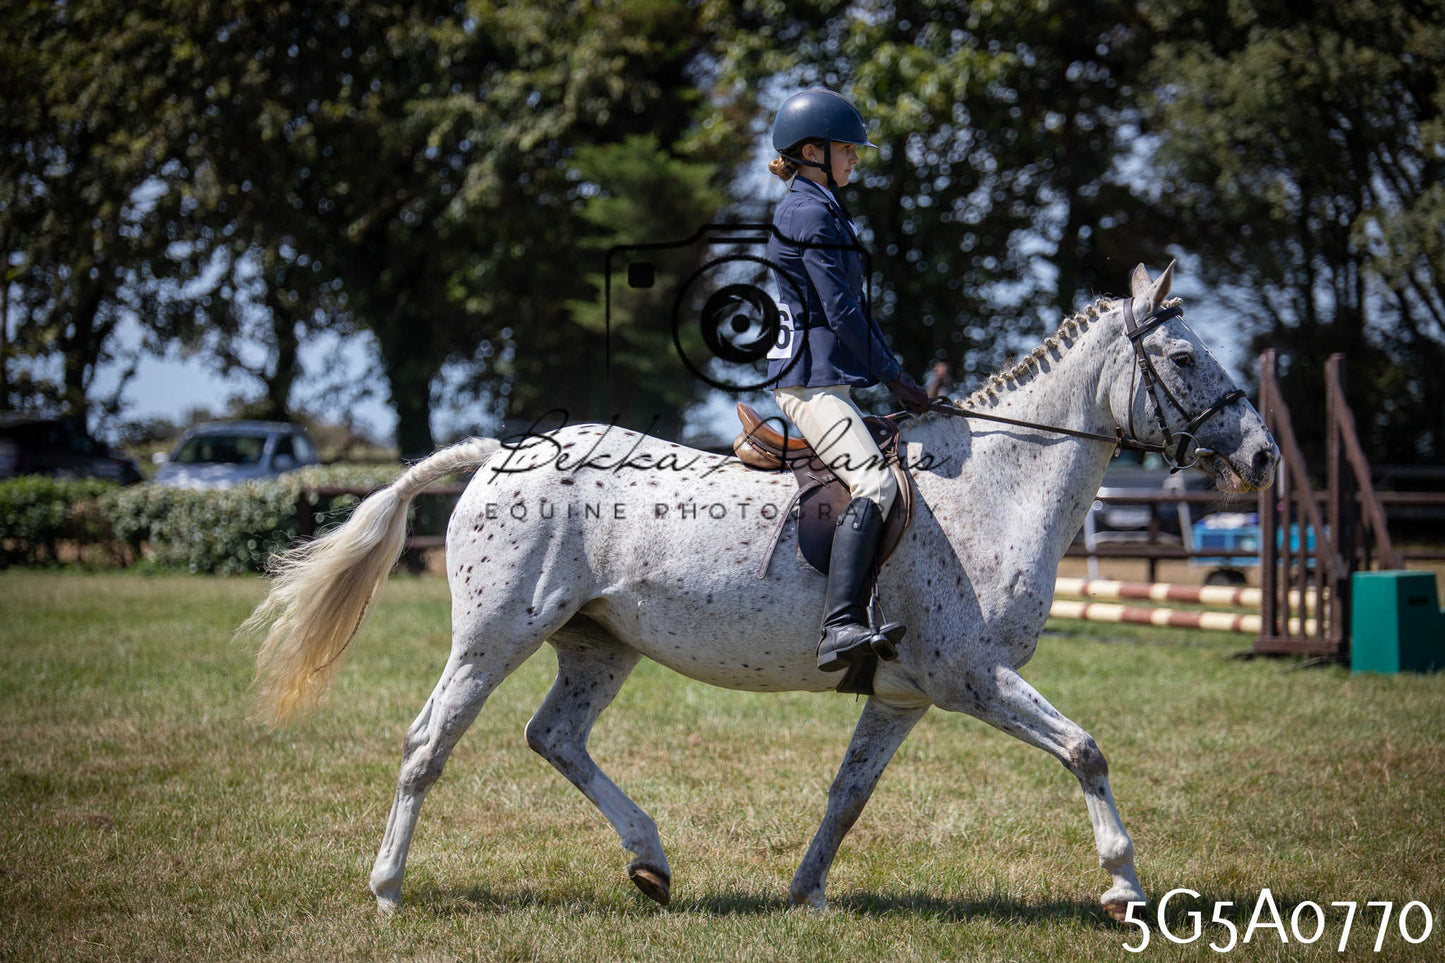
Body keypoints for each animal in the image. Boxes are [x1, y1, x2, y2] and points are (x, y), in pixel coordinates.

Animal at [242, 263, 1279, 920]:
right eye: (1183, 359)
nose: (1265, 456)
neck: (993, 482)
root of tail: (501, 452)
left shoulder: (903, 695)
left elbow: (846, 794)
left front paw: (805, 893)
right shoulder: (972, 676)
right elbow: (1085, 749)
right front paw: (1124, 889)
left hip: (597, 641)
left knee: (554, 736)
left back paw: (651, 862)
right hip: (495, 634)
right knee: (428, 744)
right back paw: (387, 889)